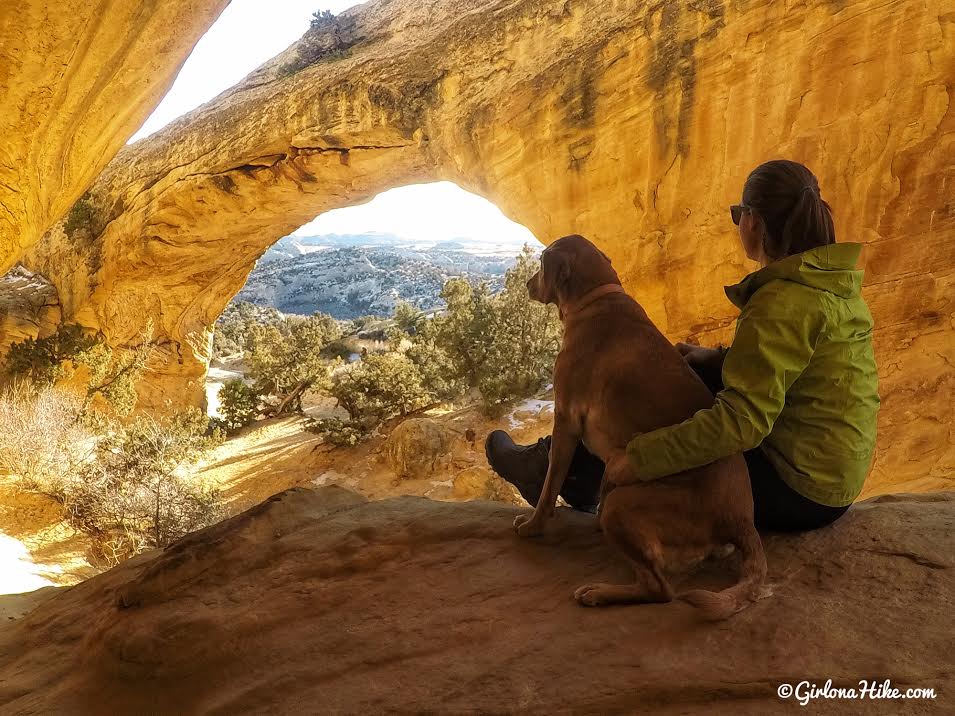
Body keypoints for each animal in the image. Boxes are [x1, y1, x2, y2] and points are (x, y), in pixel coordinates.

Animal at [516, 234, 768, 616]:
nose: (528, 284)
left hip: (622, 505)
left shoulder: (566, 421)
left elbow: (548, 486)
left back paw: (599, 592)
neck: (595, 297)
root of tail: (741, 520)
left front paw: (533, 526)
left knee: (660, 589)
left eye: (542, 264)